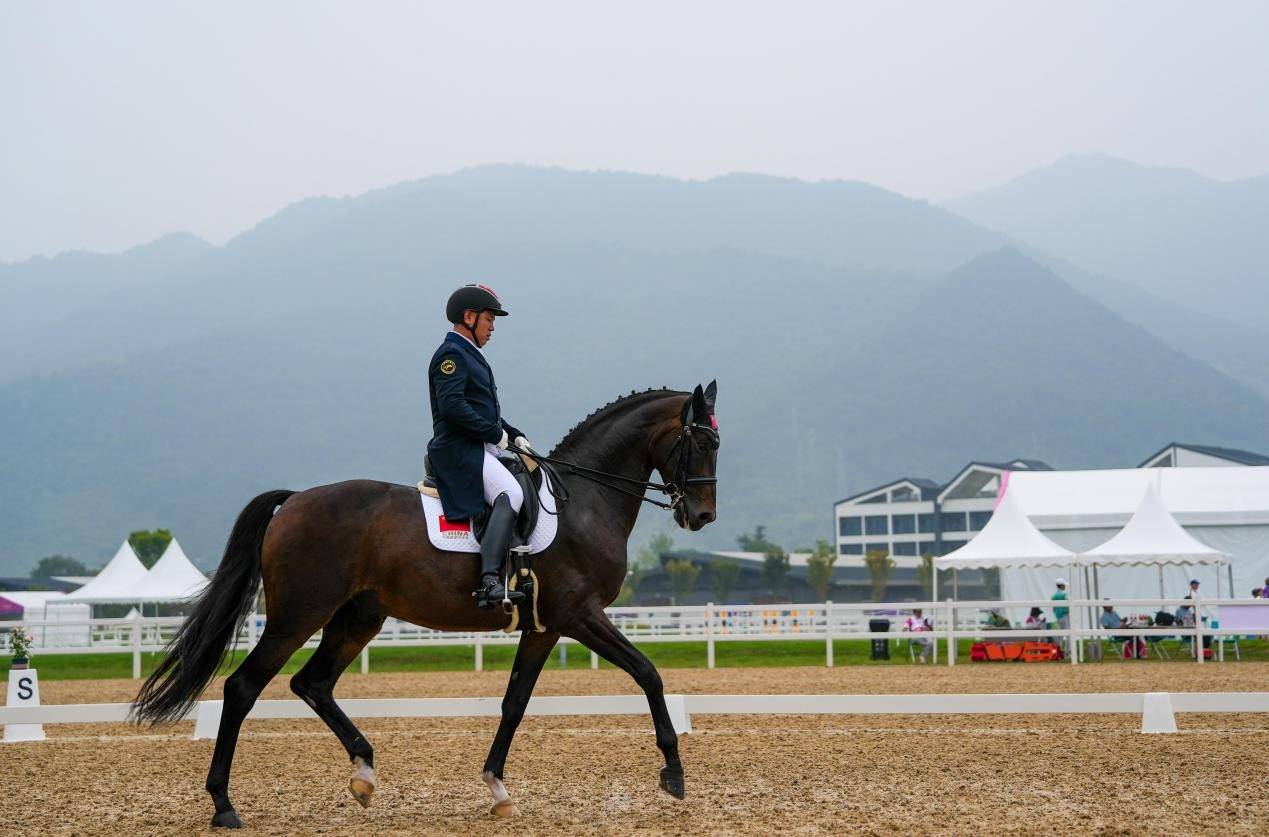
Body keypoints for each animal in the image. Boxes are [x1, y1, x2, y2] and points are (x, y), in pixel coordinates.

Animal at [136, 382, 725, 826]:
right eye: (700, 442)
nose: (701, 517)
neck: (583, 501)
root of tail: (295, 499)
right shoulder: (579, 615)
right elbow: (648, 673)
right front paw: (673, 773)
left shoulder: (544, 627)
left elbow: (515, 703)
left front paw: (497, 790)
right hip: (298, 616)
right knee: (243, 688)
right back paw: (223, 805)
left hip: (359, 617)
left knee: (312, 683)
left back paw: (364, 774)